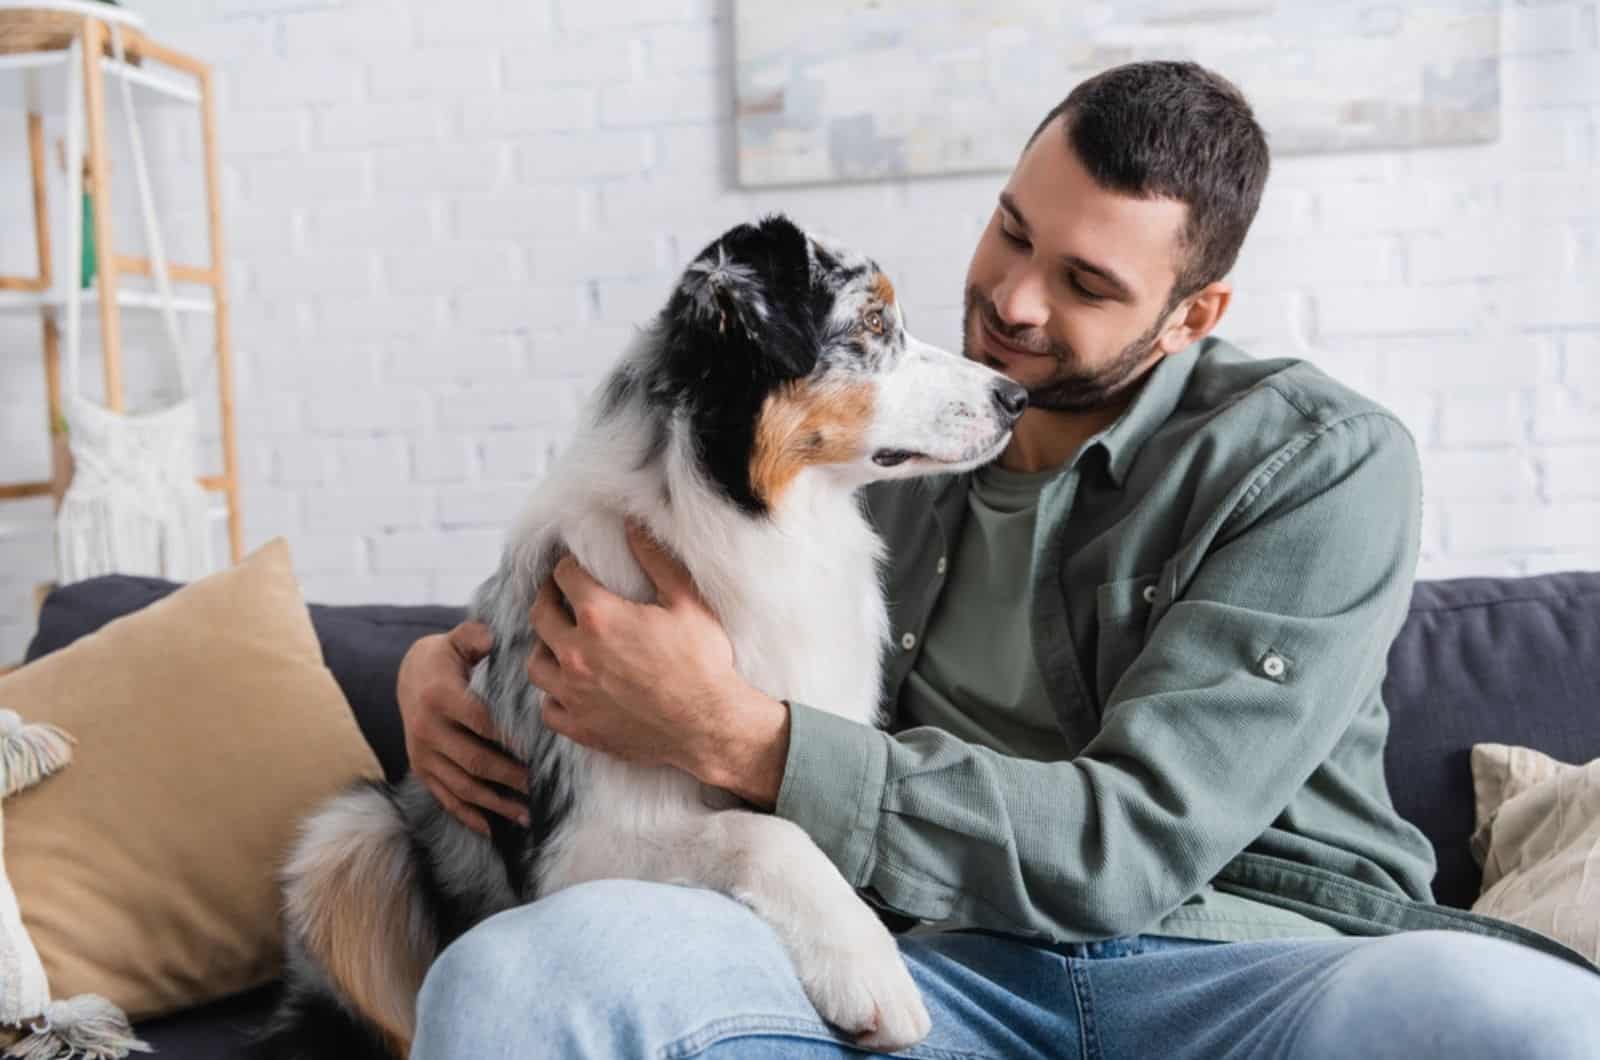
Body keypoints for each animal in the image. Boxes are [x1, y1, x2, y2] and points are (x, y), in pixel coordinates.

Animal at [249, 211, 1024, 1056]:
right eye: (874, 322)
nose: (1016, 396)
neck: (737, 516)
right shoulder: (572, 849)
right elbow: (767, 835)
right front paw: (869, 971)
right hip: (350, 834)